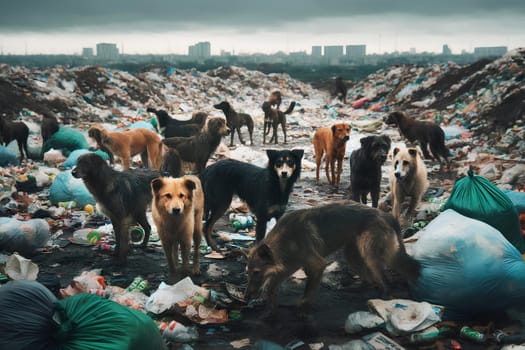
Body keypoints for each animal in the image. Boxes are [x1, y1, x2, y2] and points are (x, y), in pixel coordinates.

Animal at [244, 201, 420, 316]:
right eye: (248, 273)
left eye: (256, 272)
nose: (246, 297)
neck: (286, 239)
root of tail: (386, 215)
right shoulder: (290, 265)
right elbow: (272, 285)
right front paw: (270, 307)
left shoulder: (317, 265)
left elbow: (308, 290)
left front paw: (303, 306)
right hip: (352, 254)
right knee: (370, 278)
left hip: (372, 255)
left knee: (388, 277)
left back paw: (387, 297)